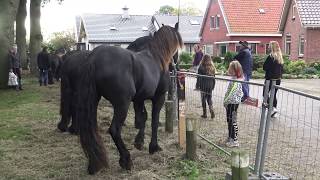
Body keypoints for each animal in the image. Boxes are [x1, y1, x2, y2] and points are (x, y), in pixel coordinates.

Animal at [76, 23, 182, 174]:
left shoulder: (139, 99)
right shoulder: (159, 98)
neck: (156, 57)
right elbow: (154, 121)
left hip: (93, 101)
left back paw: (95, 164)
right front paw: (153, 147)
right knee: (114, 129)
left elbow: (142, 118)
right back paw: (126, 160)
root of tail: (94, 58)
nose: (176, 66)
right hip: (122, 104)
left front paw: (139, 142)